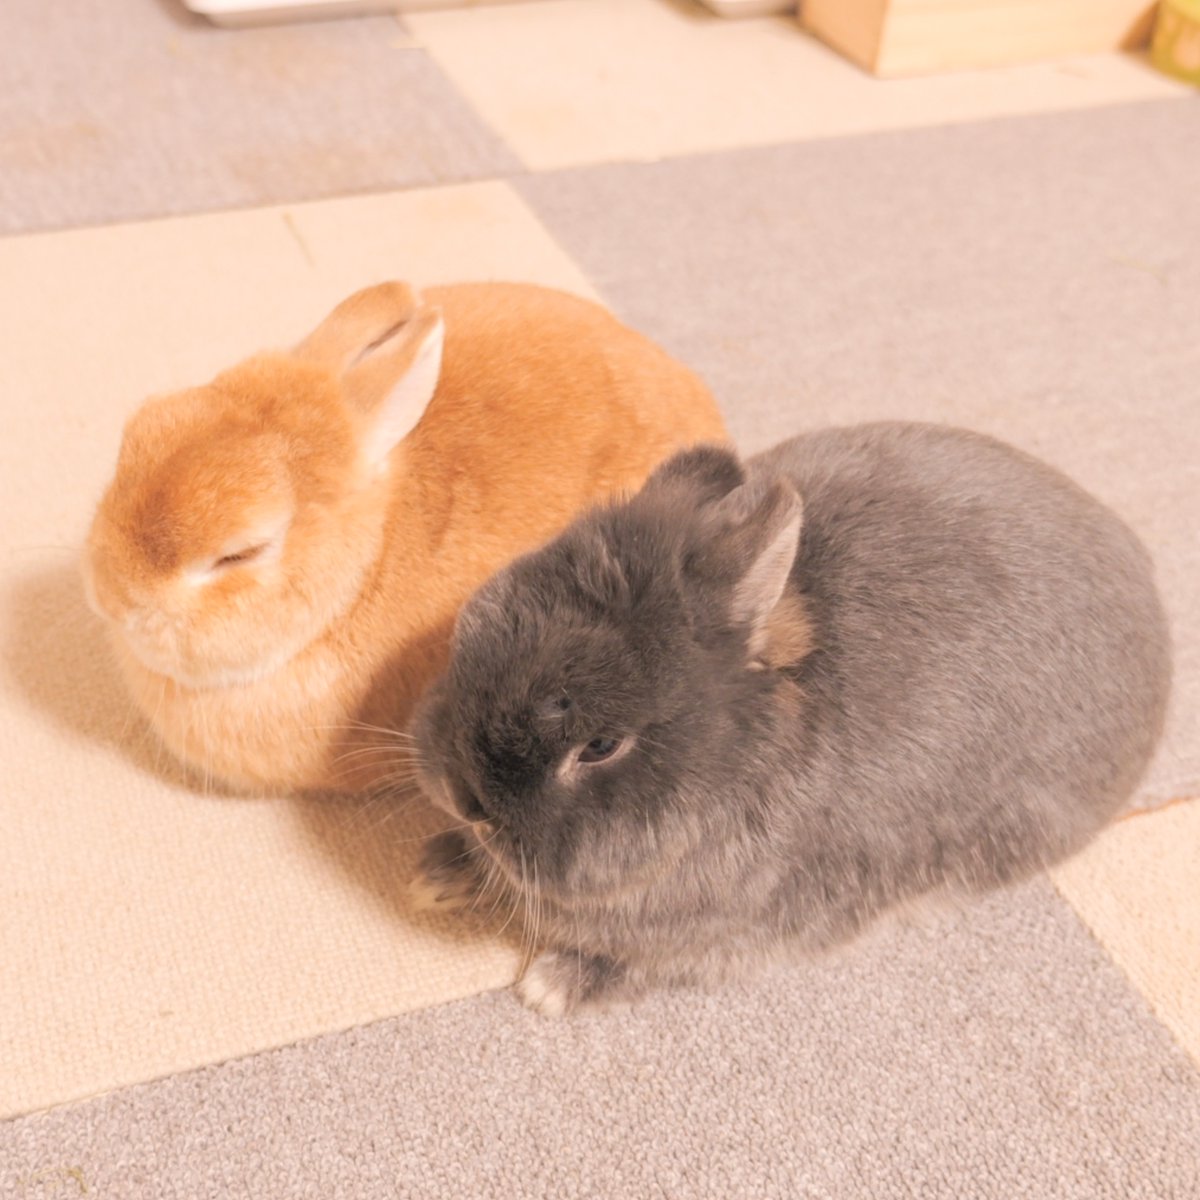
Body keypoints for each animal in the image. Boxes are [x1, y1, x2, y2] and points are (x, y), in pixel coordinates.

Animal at [410, 422, 1172, 1016]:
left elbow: (649, 962)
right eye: (476, 629)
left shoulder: (735, 928)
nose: (461, 795)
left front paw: (553, 985)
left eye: (600, 745)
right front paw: (435, 870)